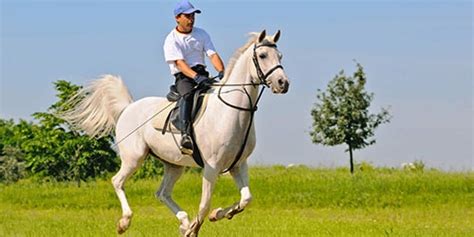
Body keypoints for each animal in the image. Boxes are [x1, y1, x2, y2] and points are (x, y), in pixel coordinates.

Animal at [59, 30, 288, 236]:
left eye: (280, 56)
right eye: (262, 55)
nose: (283, 83)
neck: (231, 112)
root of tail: (128, 107)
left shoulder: (238, 165)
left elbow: (246, 198)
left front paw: (217, 215)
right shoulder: (212, 167)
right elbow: (204, 204)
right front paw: (195, 228)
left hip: (173, 165)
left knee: (162, 193)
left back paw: (183, 222)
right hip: (134, 157)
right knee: (118, 181)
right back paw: (125, 223)